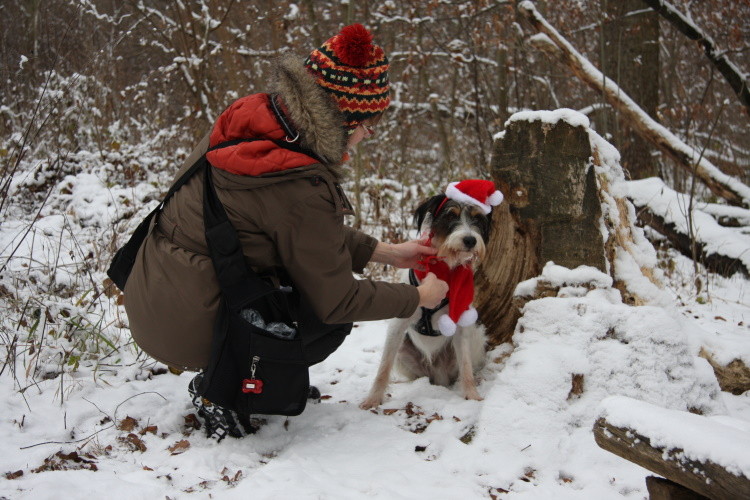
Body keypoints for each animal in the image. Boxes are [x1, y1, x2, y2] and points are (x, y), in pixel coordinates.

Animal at [362, 186, 496, 408]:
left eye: (478, 218)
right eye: (451, 215)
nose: (470, 240)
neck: (445, 269)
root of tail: (437, 374)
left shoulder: (461, 326)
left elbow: (466, 366)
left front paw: (471, 395)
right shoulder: (398, 325)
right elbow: (383, 368)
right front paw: (373, 399)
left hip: (475, 337)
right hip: (402, 352)